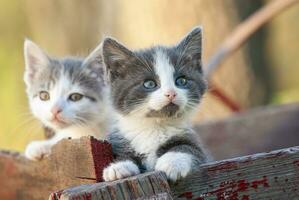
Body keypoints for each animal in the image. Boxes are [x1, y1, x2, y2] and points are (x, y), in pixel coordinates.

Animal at [102, 27, 210, 183]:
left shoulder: (196, 146)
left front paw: (171, 163)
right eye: (149, 84)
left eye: (181, 81)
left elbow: (188, 147)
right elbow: (123, 154)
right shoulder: (120, 141)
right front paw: (118, 167)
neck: (154, 126)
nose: (171, 93)